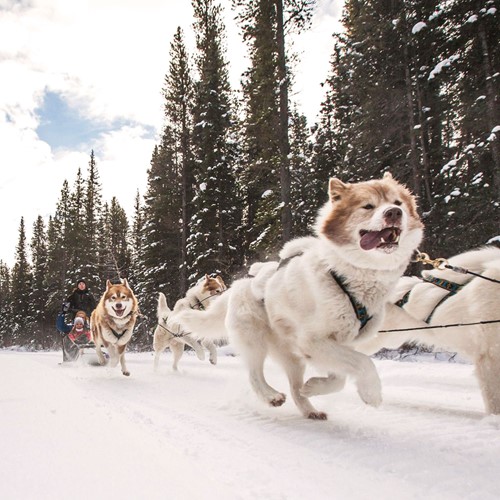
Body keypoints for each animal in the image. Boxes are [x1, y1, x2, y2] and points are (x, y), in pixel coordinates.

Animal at [178, 174, 424, 420]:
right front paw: (371, 393)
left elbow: (340, 377)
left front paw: (314, 386)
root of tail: (238, 285)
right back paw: (270, 396)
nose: (394, 212)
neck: (344, 278)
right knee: (254, 374)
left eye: (398, 202)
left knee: (294, 387)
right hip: (255, 340)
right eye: (368, 206)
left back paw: (309, 407)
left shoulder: (336, 345)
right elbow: (363, 363)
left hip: (292, 357)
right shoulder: (312, 340)